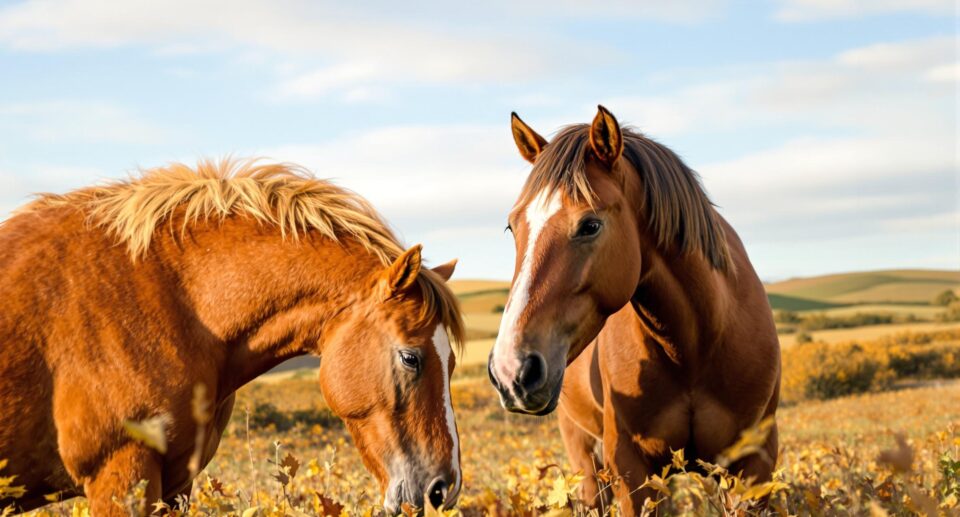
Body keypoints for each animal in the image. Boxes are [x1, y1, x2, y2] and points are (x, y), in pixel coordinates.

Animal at [488, 107, 780, 510]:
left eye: (590, 225)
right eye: (512, 227)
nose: (510, 370)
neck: (695, 348)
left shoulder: (753, 465)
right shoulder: (629, 467)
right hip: (584, 457)